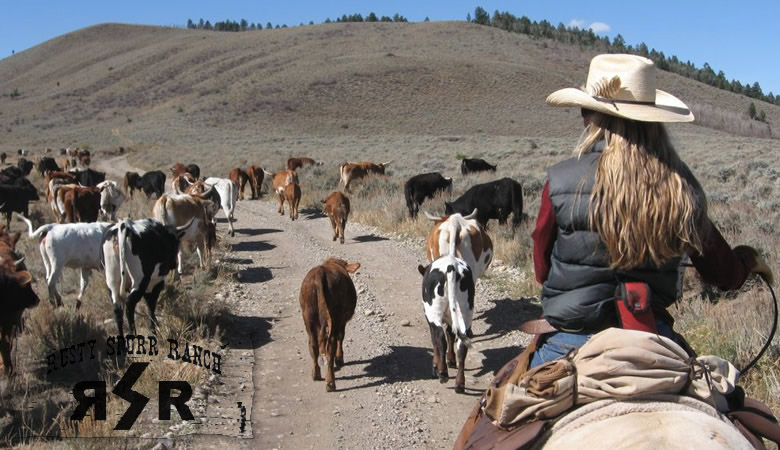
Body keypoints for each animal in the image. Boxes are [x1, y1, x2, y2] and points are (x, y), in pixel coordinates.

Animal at [300, 258, 362, 392]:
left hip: (308, 316)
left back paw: (316, 373)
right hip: (335, 316)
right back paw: (330, 382)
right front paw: (339, 359)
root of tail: (320, 272)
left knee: (313, 345)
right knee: (331, 345)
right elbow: (341, 337)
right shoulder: (342, 320)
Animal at [414, 253, 476, 394]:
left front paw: (435, 366)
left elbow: (435, 340)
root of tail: (451, 265)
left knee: (440, 338)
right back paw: (459, 384)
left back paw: (443, 373)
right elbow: (450, 334)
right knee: (461, 346)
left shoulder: (430, 318)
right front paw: (451, 360)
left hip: (433, 313)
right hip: (466, 314)